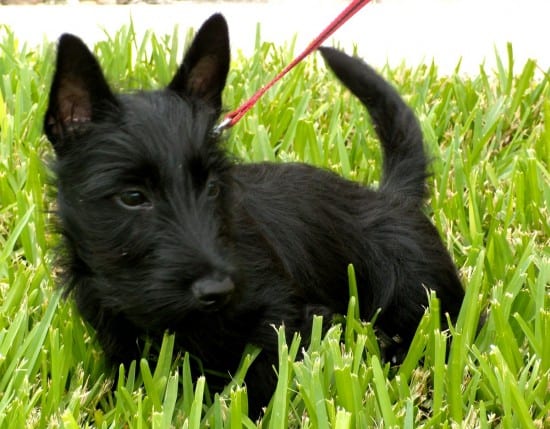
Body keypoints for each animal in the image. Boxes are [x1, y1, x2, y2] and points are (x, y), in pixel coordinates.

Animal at [44, 14, 466, 414]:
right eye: (133, 197)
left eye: (212, 188)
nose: (217, 290)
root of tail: (391, 197)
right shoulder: (116, 331)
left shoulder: (287, 317)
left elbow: (262, 380)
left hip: (421, 296)